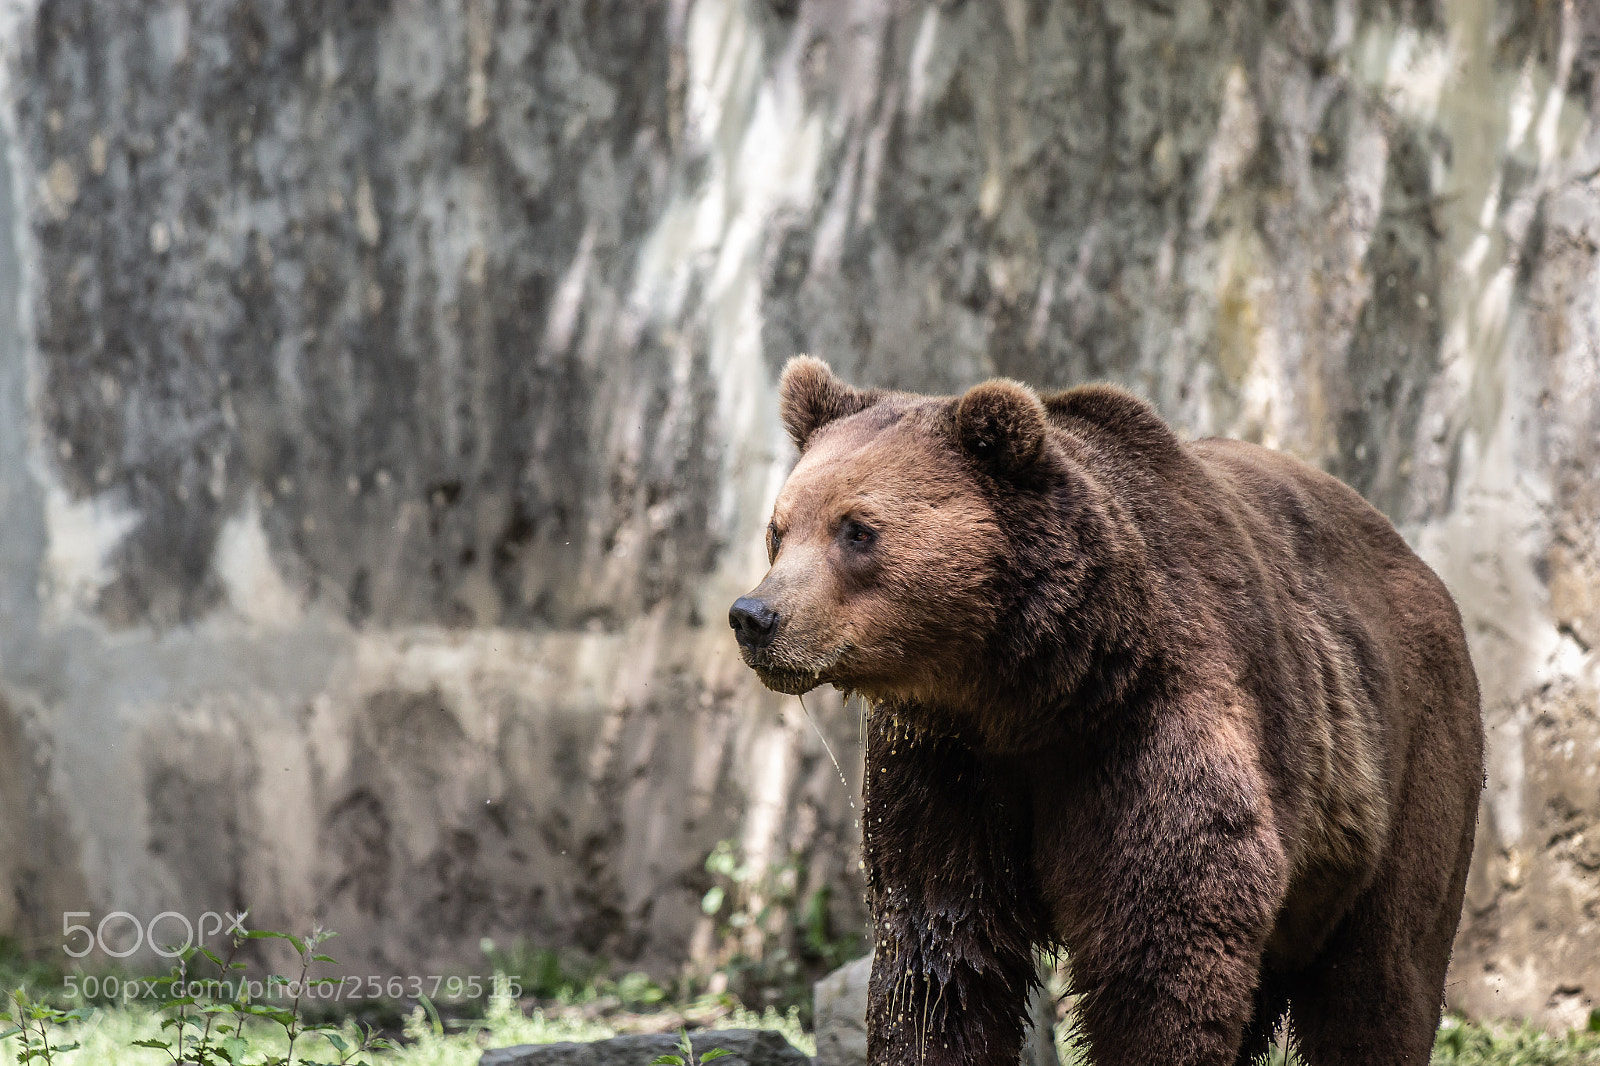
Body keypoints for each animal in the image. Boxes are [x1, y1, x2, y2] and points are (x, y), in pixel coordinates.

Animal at [729, 357, 1483, 1066]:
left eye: (857, 530)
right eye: (779, 529)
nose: (755, 616)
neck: (1036, 690)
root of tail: (1420, 566)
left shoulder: (1149, 726)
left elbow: (1165, 941)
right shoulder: (947, 765)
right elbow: (942, 950)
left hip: (1405, 761)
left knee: (1383, 978)